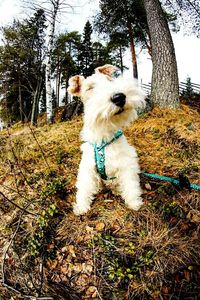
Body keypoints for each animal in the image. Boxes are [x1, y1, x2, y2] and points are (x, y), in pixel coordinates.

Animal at [67, 64, 145, 214]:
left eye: (110, 80)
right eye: (90, 88)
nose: (119, 97)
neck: (104, 138)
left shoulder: (127, 163)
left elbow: (131, 184)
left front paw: (134, 203)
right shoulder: (87, 168)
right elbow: (84, 188)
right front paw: (81, 207)